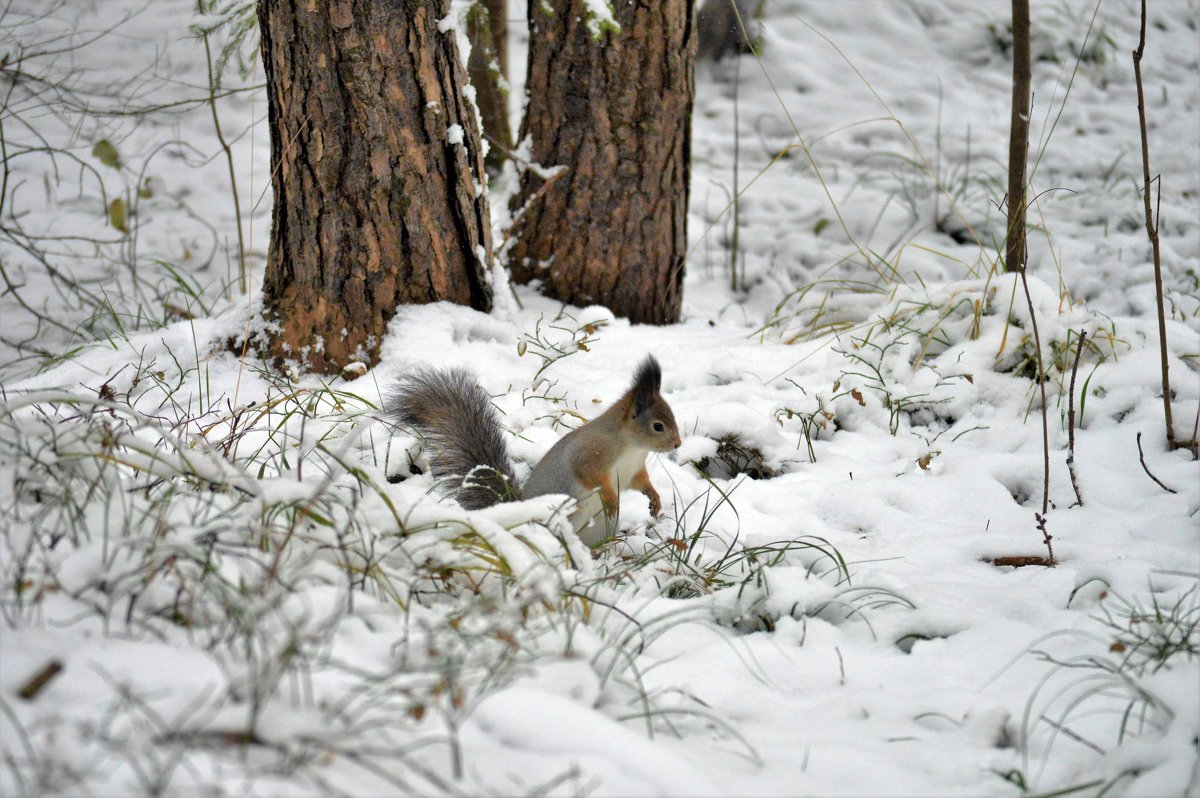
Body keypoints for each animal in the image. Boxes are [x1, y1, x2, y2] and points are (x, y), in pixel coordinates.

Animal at [388, 357, 681, 544]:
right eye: (657, 426)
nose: (677, 444)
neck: (631, 447)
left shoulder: (633, 470)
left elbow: (641, 482)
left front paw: (654, 498)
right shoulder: (590, 455)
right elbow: (591, 477)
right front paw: (611, 500)